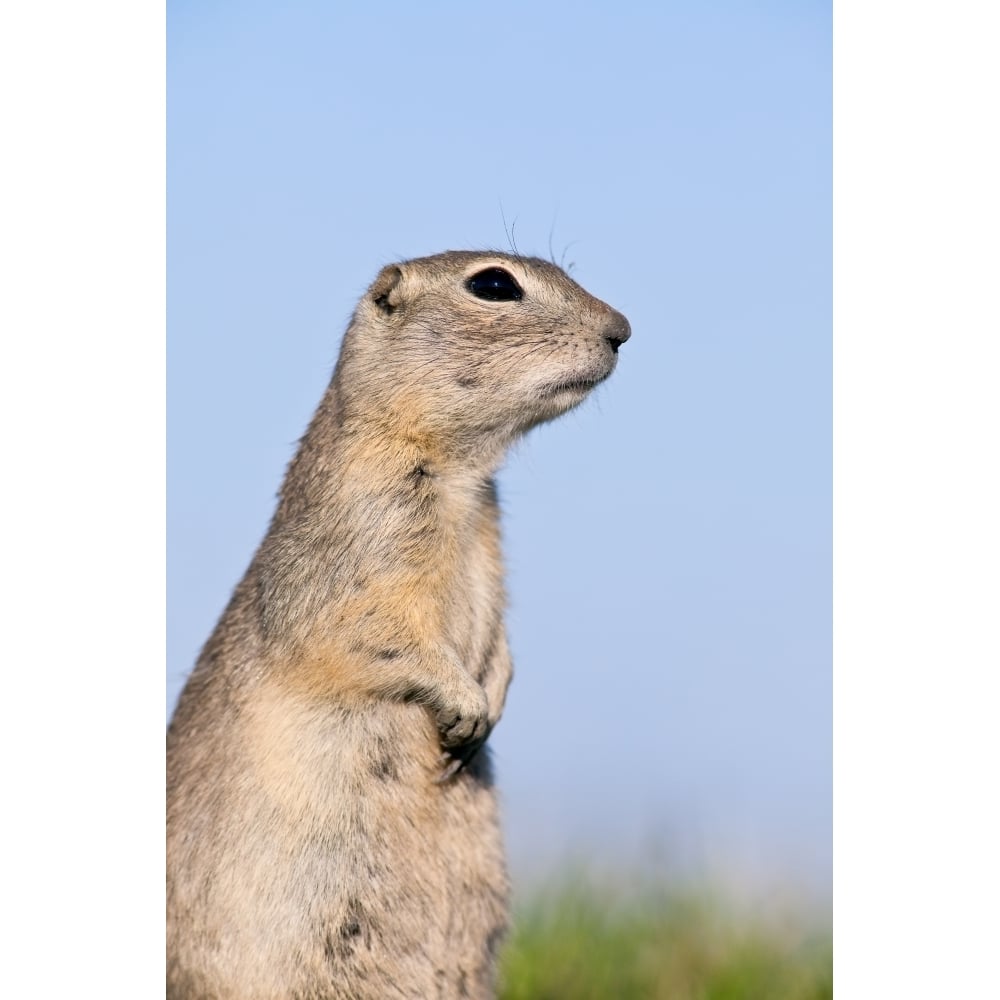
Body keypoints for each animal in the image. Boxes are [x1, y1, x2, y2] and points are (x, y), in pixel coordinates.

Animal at [167, 250, 628, 1000]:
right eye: (493, 284)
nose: (623, 330)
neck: (462, 474)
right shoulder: (360, 545)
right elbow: (373, 632)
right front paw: (465, 706)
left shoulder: (489, 543)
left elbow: (499, 633)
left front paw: (493, 694)